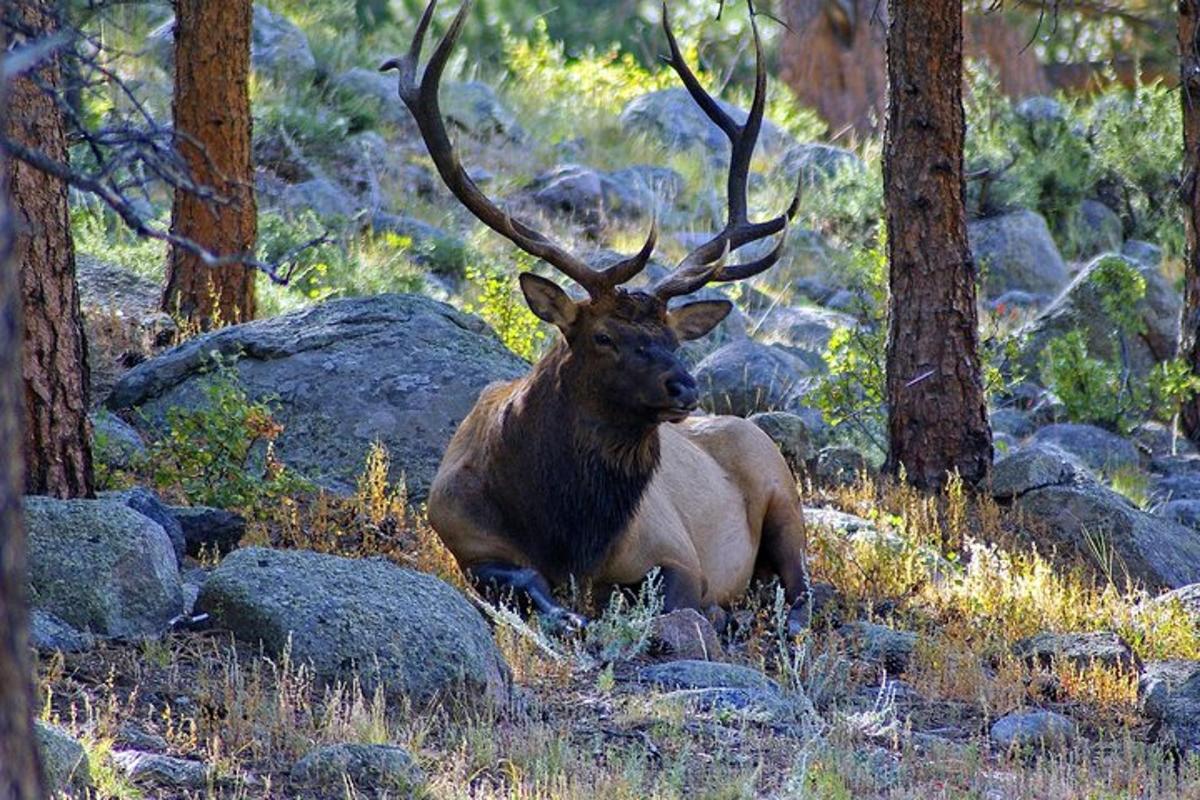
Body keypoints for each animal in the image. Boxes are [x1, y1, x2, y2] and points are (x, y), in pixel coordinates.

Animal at [384, 1, 811, 638]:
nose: (685, 387)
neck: (568, 535)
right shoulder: (464, 537)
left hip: (783, 491)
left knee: (805, 585)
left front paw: (703, 611)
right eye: (604, 336)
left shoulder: (675, 551)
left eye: (674, 340)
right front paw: (569, 615)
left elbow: (676, 598)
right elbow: (526, 583)